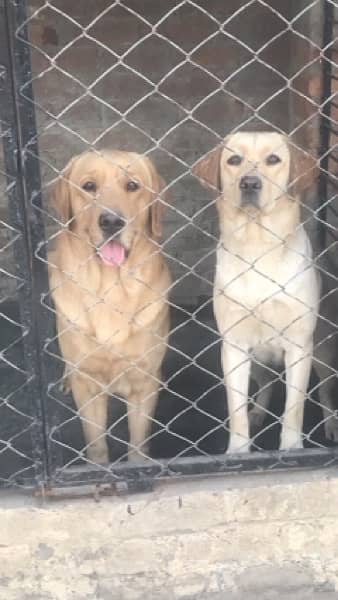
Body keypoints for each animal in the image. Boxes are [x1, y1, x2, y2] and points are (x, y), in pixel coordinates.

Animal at [48, 149, 172, 464]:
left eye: (132, 186)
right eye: (89, 186)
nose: (112, 221)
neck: (111, 289)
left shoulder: (142, 385)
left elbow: (138, 443)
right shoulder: (88, 388)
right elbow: (97, 443)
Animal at [193, 131, 320, 450]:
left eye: (273, 159)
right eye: (234, 160)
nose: (249, 183)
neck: (258, 248)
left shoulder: (300, 346)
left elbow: (294, 409)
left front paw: (291, 449)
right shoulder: (234, 347)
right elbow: (236, 411)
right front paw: (238, 450)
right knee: (266, 385)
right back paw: (259, 413)